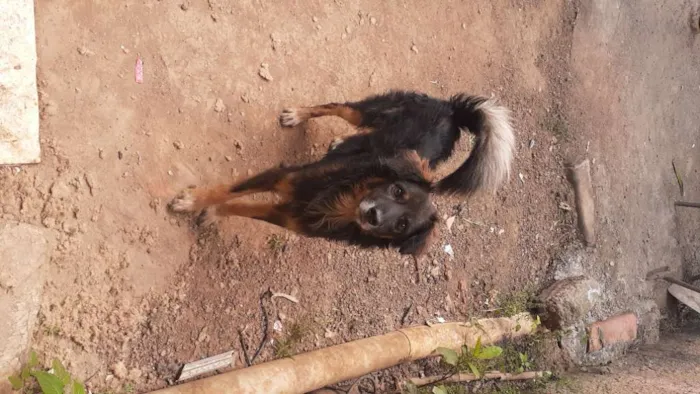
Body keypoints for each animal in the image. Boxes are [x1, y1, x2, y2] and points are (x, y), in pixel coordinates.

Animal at [171, 89, 516, 255]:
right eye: (398, 190)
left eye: (402, 225)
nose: (375, 216)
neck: (337, 199)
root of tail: (453, 113)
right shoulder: (282, 176)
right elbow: (226, 190)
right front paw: (192, 202)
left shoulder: (282, 215)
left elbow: (239, 206)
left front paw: (212, 213)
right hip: (371, 111)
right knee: (338, 107)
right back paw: (297, 115)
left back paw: (336, 141)